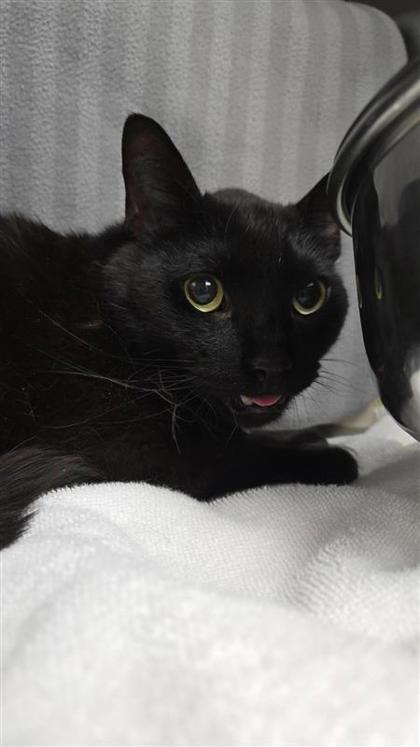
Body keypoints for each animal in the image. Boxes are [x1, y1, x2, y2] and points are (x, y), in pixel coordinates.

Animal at [0, 113, 357, 549]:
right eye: (203, 291)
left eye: (308, 297)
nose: (270, 364)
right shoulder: (143, 453)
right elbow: (249, 456)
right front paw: (328, 453)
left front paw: (304, 435)